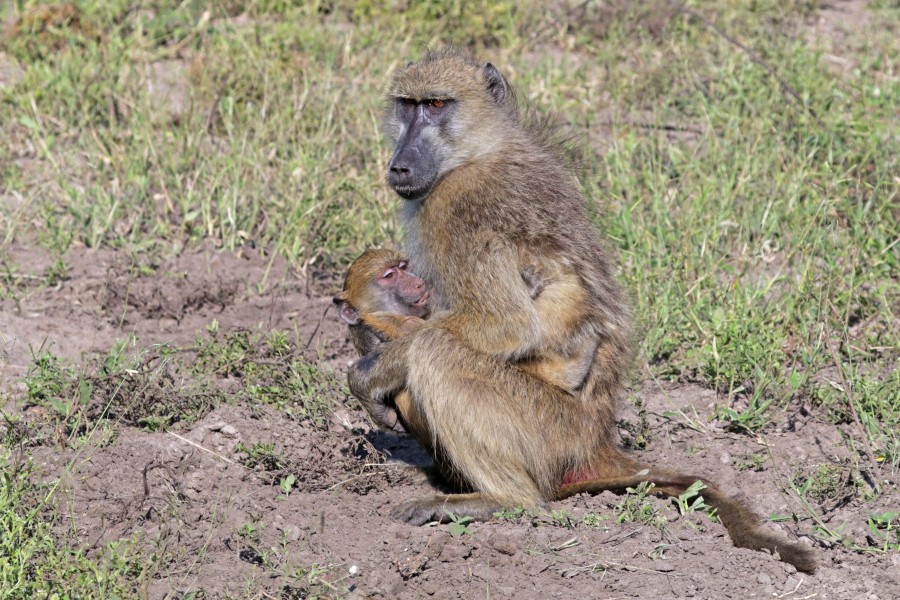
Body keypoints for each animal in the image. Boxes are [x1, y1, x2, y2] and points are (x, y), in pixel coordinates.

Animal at [347, 48, 816, 572]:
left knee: (434, 352)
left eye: (436, 105)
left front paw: (366, 375)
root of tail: (596, 439)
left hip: (549, 430)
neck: (479, 150)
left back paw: (497, 499)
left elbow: (504, 326)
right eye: (407, 106)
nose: (400, 166)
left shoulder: (456, 208)